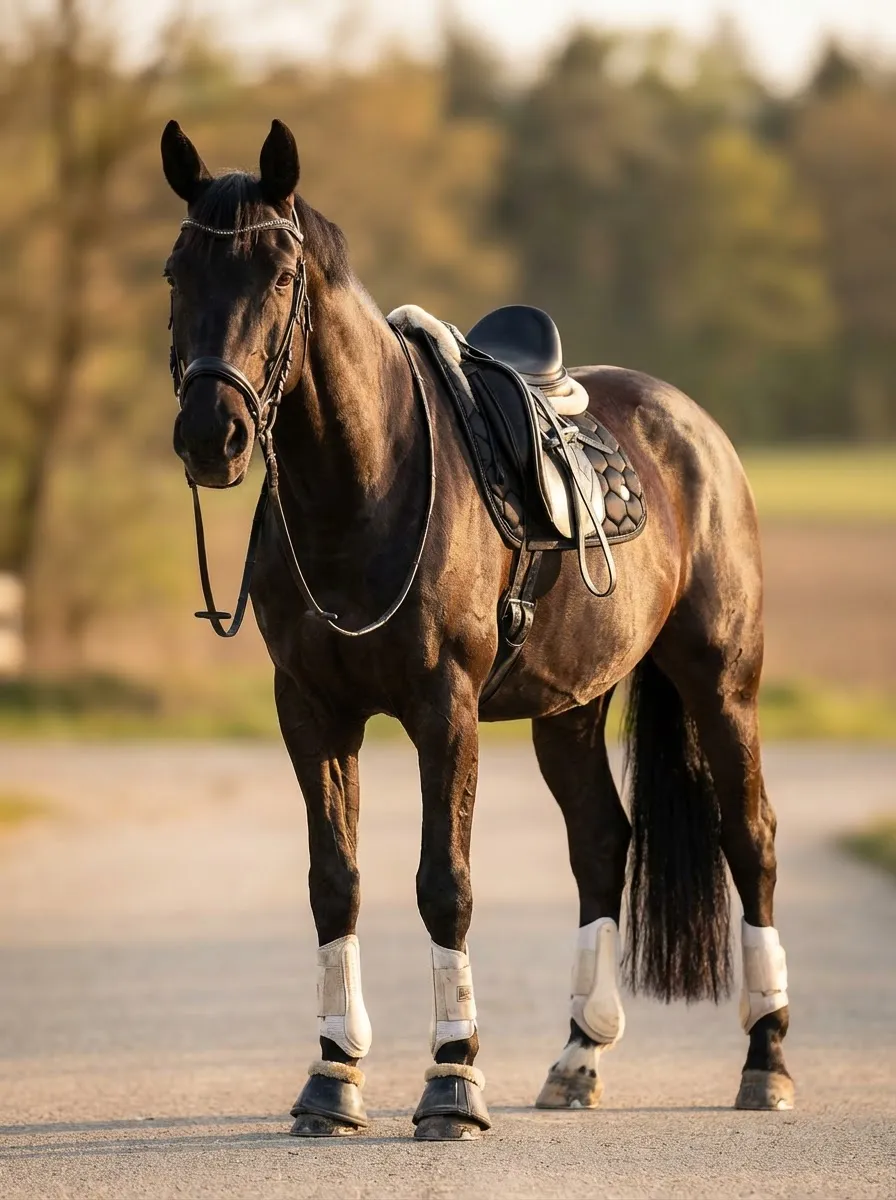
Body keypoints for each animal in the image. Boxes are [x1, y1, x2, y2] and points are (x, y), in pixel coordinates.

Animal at [161, 118, 792, 1141]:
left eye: (281, 276)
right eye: (177, 271)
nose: (211, 435)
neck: (365, 484)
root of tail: (694, 427)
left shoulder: (443, 708)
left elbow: (442, 883)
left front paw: (452, 1081)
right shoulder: (311, 712)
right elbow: (335, 880)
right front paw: (332, 1077)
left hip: (721, 682)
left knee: (752, 839)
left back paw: (766, 1058)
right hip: (570, 708)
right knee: (601, 843)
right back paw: (578, 1057)